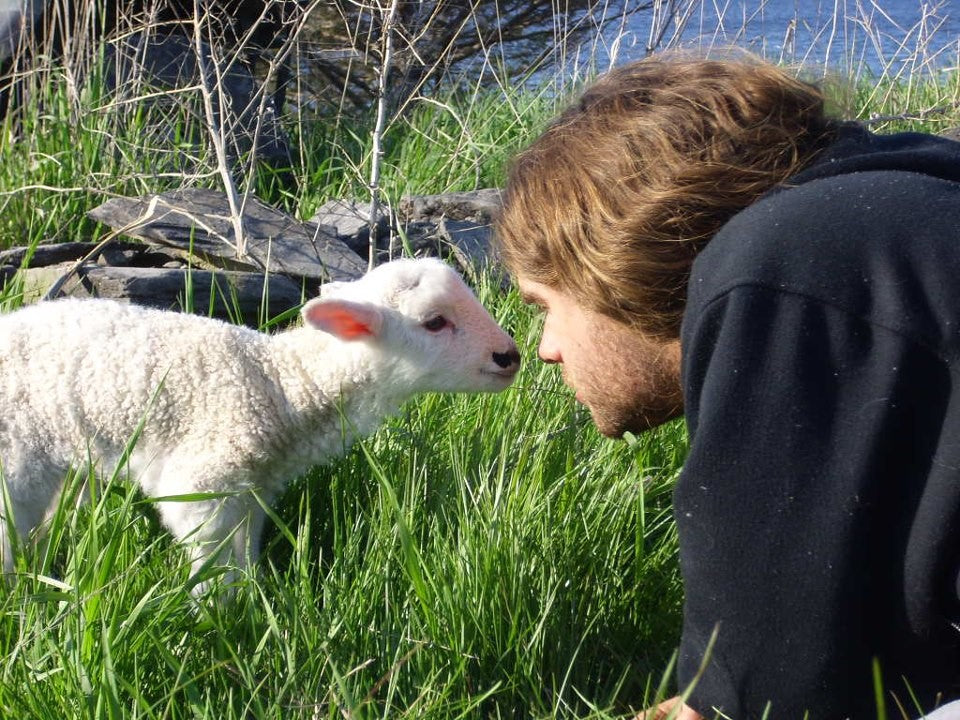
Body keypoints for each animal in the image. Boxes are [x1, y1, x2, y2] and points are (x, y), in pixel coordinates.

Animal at [0, 256, 520, 592]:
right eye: (434, 322)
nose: (510, 357)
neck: (281, 384)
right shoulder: (202, 485)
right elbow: (210, 561)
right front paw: (216, 617)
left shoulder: (253, 490)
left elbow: (243, 554)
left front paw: (253, 603)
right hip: (14, 456)